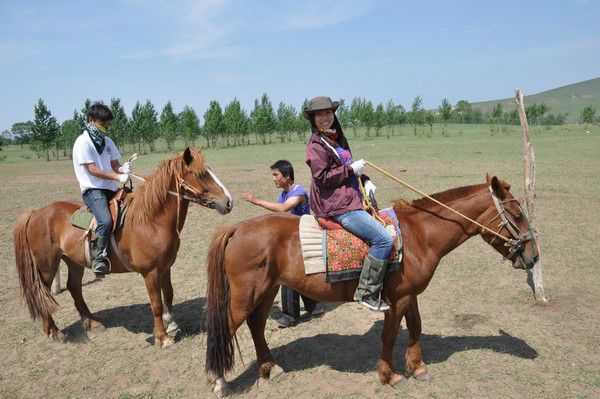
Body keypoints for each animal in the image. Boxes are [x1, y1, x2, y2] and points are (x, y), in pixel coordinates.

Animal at [12, 148, 232, 348]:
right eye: (201, 174)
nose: (228, 201)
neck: (151, 221)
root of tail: (35, 213)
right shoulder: (150, 272)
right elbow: (156, 304)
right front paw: (163, 338)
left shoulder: (166, 267)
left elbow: (169, 295)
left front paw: (172, 324)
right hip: (47, 266)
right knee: (43, 294)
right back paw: (54, 331)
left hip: (73, 261)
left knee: (74, 288)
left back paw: (92, 324)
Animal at [205, 176, 540, 396]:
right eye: (516, 214)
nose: (533, 256)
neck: (419, 234)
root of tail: (236, 229)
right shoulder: (396, 299)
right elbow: (389, 336)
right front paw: (390, 376)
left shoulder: (409, 295)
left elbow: (416, 327)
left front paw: (417, 368)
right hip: (246, 295)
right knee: (226, 327)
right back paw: (219, 381)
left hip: (266, 291)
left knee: (256, 326)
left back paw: (269, 369)